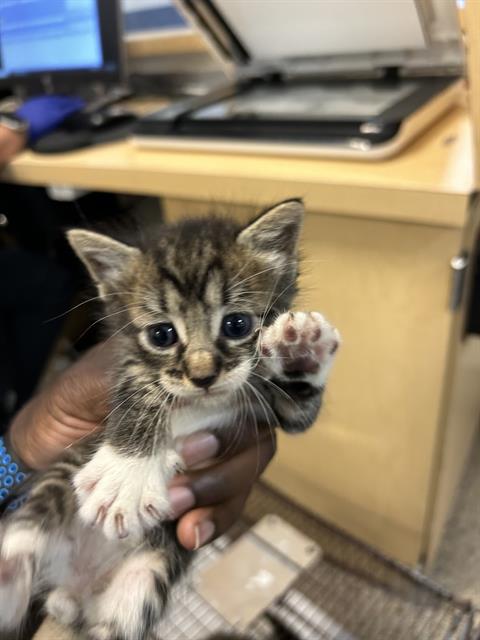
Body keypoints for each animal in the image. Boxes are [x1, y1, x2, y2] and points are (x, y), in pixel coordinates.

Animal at [0, 198, 342, 636]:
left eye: (237, 324)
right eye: (162, 335)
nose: (202, 376)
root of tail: (74, 587)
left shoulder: (270, 413)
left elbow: (299, 409)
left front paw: (299, 353)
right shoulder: (118, 363)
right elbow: (139, 384)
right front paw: (127, 474)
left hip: (146, 578)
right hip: (60, 478)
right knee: (28, 536)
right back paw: (9, 570)